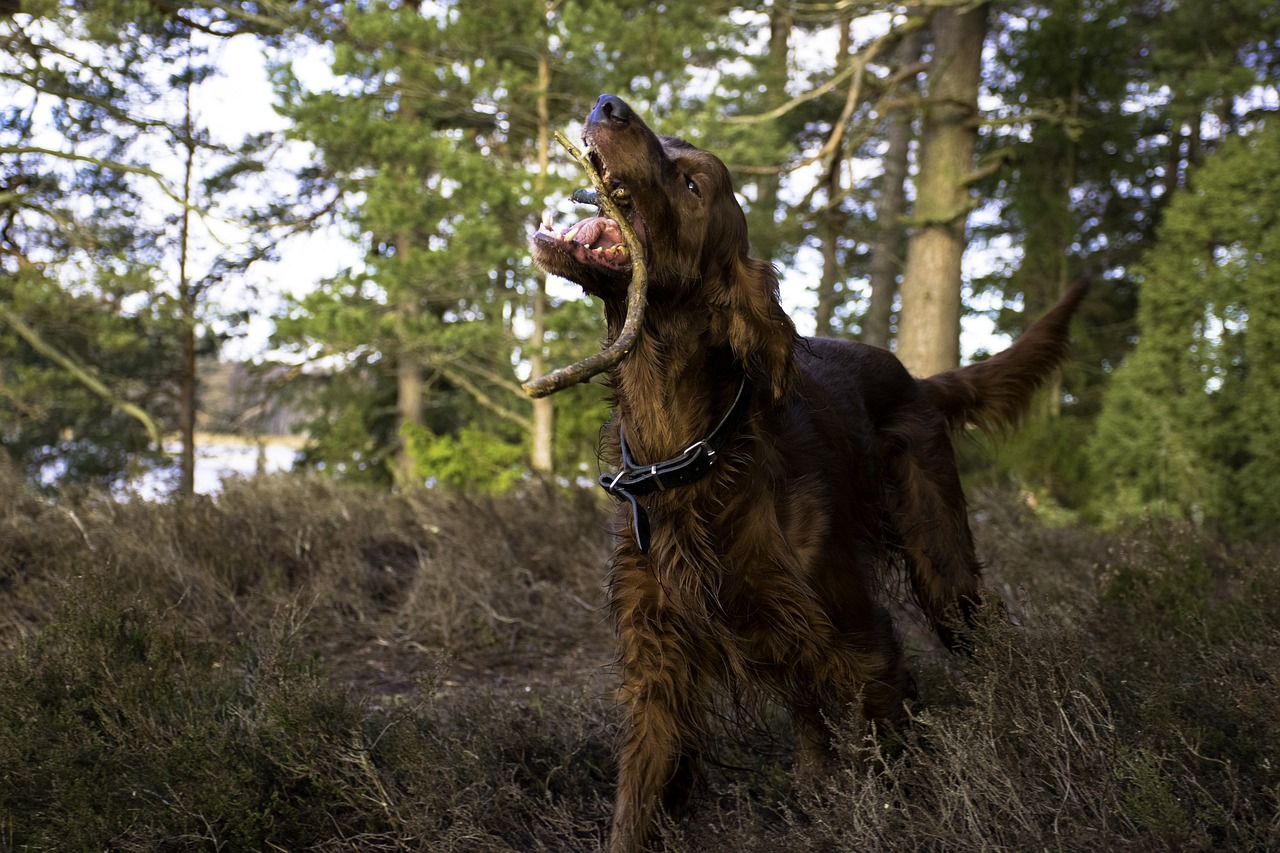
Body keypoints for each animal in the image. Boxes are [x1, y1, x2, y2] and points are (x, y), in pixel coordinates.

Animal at [532, 92, 1090, 850]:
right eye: (667, 143)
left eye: (692, 183)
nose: (608, 104)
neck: (694, 452)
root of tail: (915, 376)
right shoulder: (658, 662)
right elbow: (636, 806)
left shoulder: (865, 643)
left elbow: (892, 773)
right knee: (803, 705)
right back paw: (814, 781)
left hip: (943, 571)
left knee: (980, 636)